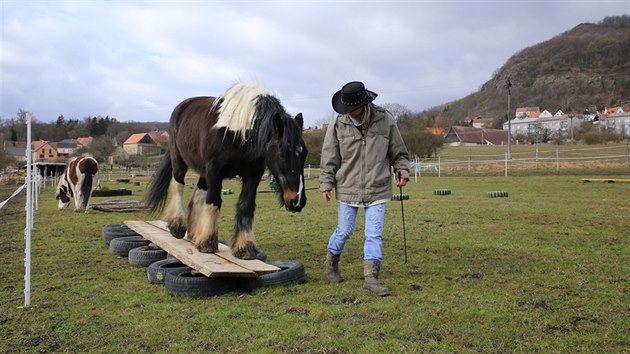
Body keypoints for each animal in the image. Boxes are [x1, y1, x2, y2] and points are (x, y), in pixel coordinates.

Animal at [146, 83, 308, 260]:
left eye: (304, 153)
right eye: (282, 153)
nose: (297, 201)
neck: (239, 134)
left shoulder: (253, 175)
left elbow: (246, 205)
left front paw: (245, 247)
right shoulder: (214, 171)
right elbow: (214, 201)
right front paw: (207, 243)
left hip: (203, 172)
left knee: (198, 195)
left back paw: (194, 234)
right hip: (179, 161)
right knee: (178, 186)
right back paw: (177, 225)